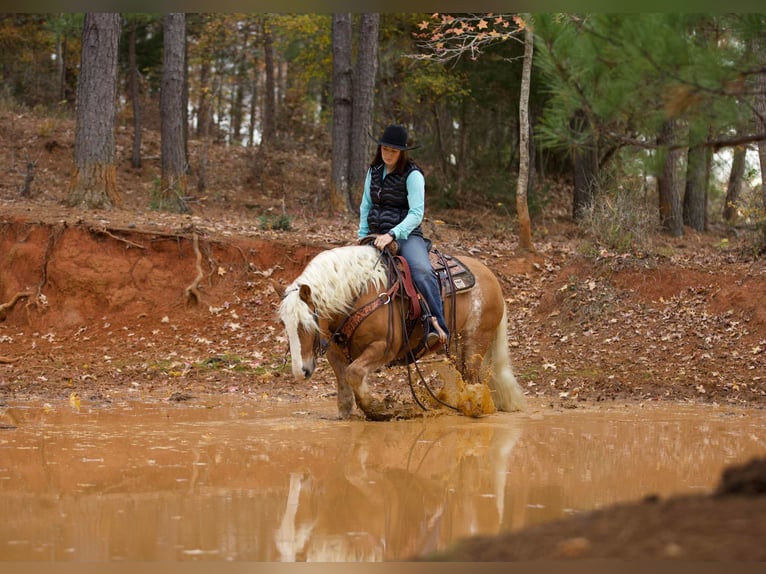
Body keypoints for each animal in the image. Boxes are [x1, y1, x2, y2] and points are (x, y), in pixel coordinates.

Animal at [280, 244, 524, 424]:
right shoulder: (336, 352)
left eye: (307, 324)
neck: (360, 293)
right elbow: (344, 382)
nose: (300, 371)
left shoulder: (384, 346)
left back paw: (472, 407)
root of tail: (491, 277)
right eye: (286, 324)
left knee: (472, 377)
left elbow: (354, 373)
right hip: (457, 345)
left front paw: (379, 409)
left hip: (475, 341)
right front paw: (347, 412)